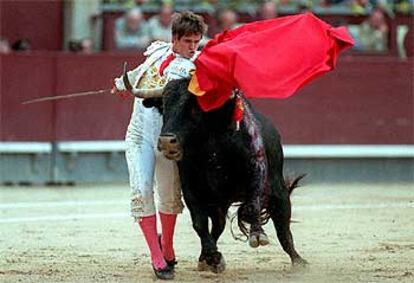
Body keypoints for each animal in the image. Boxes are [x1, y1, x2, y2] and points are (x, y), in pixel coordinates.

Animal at [151, 77, 304, 272]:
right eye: (163, 107)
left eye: (194, 108)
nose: (166, 142)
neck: (211, 147)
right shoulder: (191, 191)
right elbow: (200, 224)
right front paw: (212, 257)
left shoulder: (254, 173)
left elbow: (254, 205)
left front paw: (257, 235)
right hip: (219, 202)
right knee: (218, 226)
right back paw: (205, 257)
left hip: (279, 191)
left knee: (283, 226)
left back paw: (298, 261)